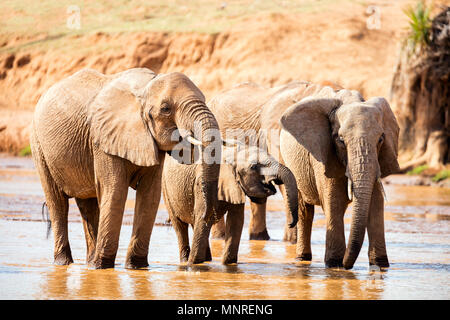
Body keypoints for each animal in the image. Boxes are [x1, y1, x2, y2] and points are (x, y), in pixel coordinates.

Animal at [31, 68, 221, 270]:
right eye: (165, 109)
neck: (146, 87)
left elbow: (150, 195)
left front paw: (136, 266)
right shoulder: (102, 139)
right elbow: (115, 192)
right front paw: (104, 267)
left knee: (87, 205)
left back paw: (89, 264)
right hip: (38, 145)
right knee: (57, 203)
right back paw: (65, 263)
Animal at [209, 81, 400, 268]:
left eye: (381, 139)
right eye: (340, 140)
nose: (348, 265)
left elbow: (375, 204)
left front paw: (380, 265)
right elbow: (334, 202)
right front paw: (335, 265)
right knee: (304, 210)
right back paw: (301, 257)